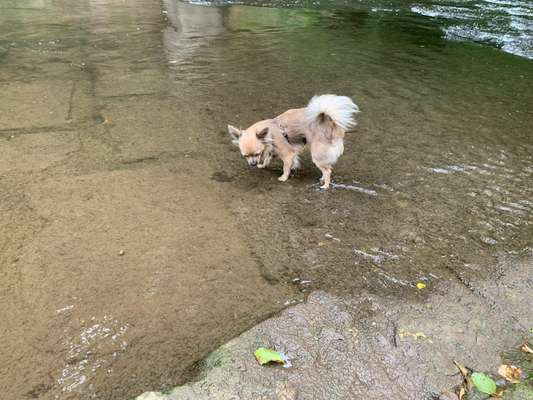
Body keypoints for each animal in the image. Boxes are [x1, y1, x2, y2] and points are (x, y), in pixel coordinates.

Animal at [228, 94, 358, 189]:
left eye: (257, 154)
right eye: (245, 156)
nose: (253, 164)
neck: (270, 134)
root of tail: (330, 125)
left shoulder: (287, 154)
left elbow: (285, 167)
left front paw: (284, 177)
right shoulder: (273, 150)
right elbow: (268, 158)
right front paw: (263, 165)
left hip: (317, 156)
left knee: (328, 170)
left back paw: (325, 185)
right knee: (326, 168)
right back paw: (322, 179)